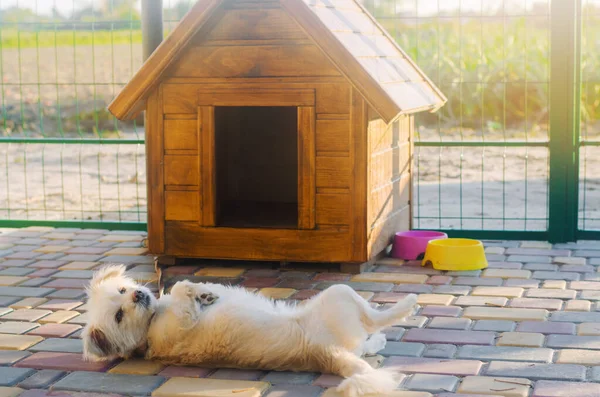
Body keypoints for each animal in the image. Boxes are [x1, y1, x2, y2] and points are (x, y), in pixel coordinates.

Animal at [81, 264, 418, 394]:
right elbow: (180, 290)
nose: (139, 295)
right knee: (373, 318)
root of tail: (325, 354)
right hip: (340, 295)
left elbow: (187, 287)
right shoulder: (181, 324)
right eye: (118, 316)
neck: (153, 318)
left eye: (123, 289)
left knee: (364, 343)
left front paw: (205, 292)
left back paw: (377, 342)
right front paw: (194, 292)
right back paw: (406, 305)